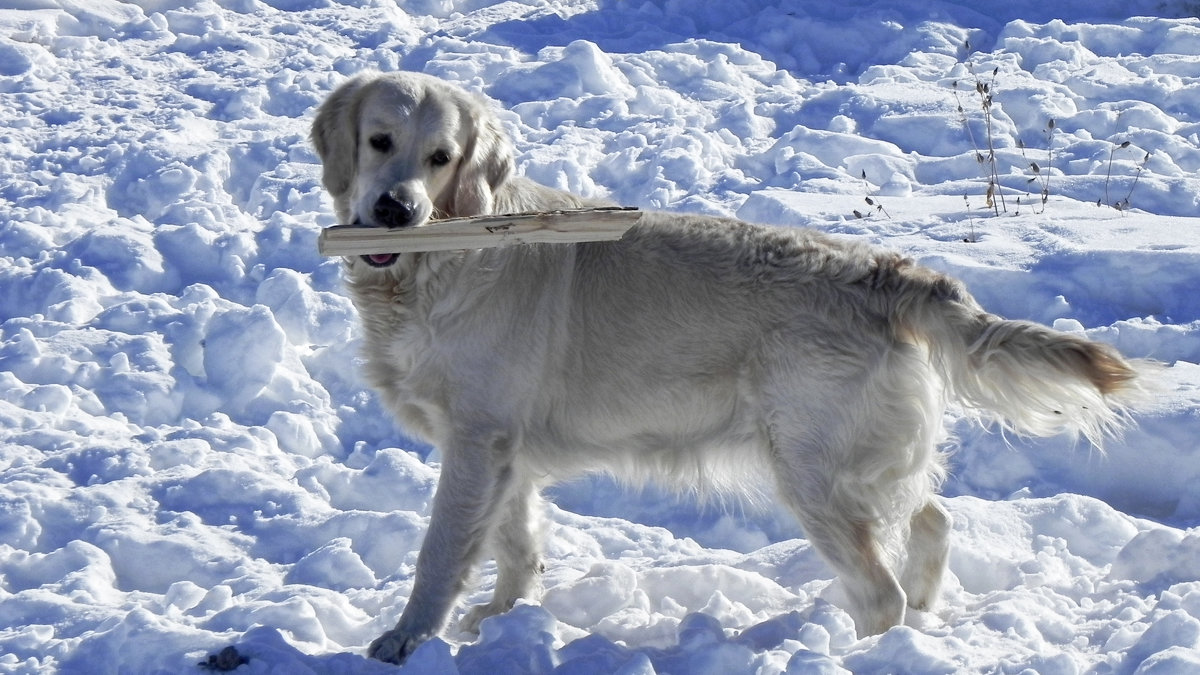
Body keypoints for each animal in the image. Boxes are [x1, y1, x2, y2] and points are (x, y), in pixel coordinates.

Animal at [307, 70, 1142, 658]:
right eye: (379, 140)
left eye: (441, 158)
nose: (396, 210)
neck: (436, 263)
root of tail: (888, 272)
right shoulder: (502, 448)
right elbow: (516, 545)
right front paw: (500, 620)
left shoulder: (477, 439)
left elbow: (442, 550)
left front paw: (406, 639)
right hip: (868, 458)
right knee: (933, 519)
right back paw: (923, 621)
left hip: (812, 469)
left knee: (880, 590)